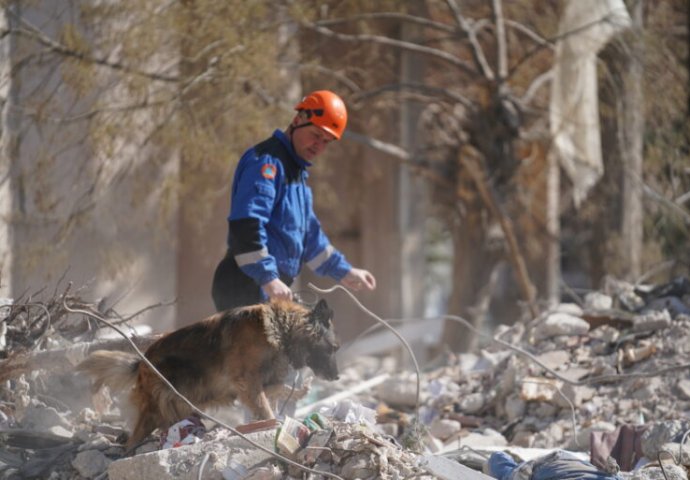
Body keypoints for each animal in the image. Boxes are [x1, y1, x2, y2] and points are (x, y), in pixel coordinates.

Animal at [76, 300, 340, 450]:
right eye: (334, 348)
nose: (337, 378)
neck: (279, 329)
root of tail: (142, 361)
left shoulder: (256, 384)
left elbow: (276, 392)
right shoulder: (248, 381)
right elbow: (264, 407)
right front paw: (270, 424)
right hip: (154, 408)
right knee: (133, 440)